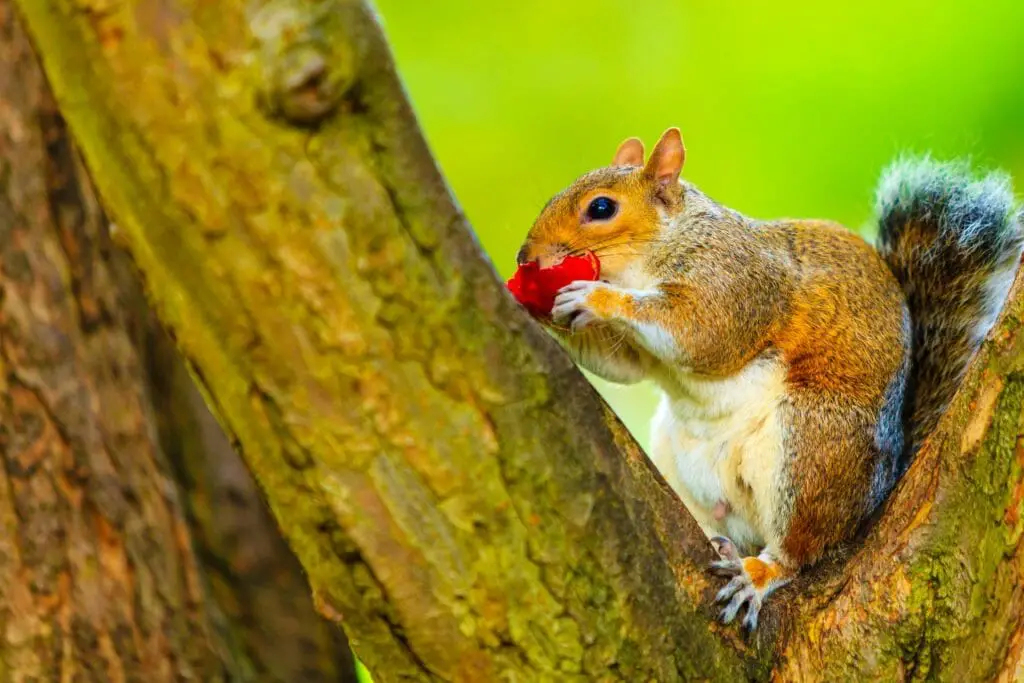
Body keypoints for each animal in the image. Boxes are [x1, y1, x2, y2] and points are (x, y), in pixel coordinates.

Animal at [514, 128, 1024, 630]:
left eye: (601, 208)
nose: (525, 256)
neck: (668, 241)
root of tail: (877, 493)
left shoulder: (736, 283)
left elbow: (702, 333)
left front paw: (597, 298)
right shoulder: (640, 349)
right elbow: (622, 365)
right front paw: (535, 306)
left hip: (811, 445)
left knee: (798, 549)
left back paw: (759, 573)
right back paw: (722, 544)